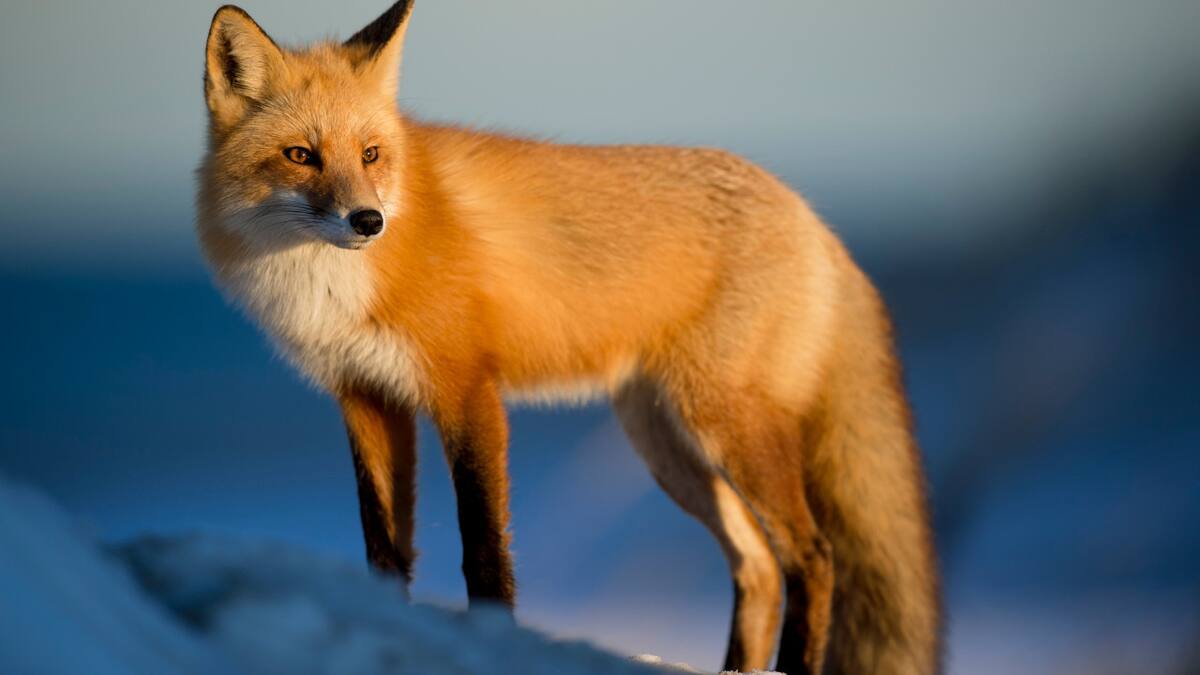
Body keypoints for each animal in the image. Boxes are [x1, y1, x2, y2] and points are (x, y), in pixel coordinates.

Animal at [196, 2, 941, 673]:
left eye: (371, 154)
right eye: (301, 156)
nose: (368, 220)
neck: (331, 286)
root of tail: (813, 218)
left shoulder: (467, 390)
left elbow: (484, 549)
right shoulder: (366, 397)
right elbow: (384, 549)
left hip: (725, 426)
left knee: (812, 557)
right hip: (667, 445)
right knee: (757, 566)